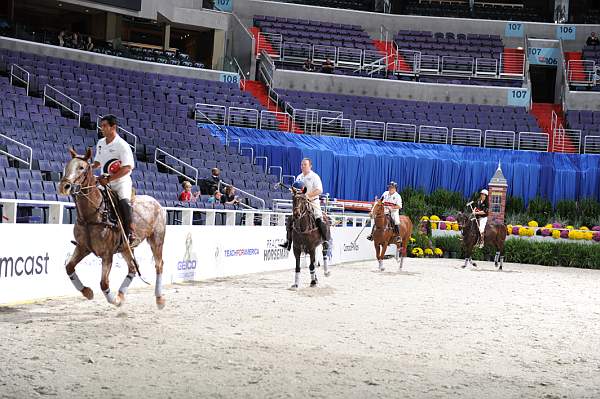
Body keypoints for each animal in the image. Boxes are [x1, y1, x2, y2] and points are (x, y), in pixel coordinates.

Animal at [57, 149, 168, 310]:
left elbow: (104, 283)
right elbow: (69, 267)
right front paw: (88, 292)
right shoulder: (83, 247)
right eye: (67, 166)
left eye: (81, 168)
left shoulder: (107, 254)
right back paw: (121, 295)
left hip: (156, 239)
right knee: (133, 268)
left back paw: (159, 299)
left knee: (159, 265)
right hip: (126, 247)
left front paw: (113, 300)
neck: (91, 217)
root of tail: (156, 203)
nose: (64, 186)